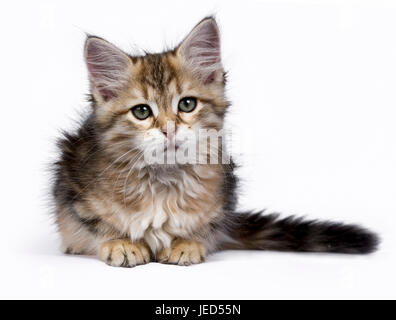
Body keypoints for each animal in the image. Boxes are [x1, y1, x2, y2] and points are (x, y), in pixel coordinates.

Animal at [51, 17, 378, 268]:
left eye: (187, 104)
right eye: (142, 112)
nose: (169, 129)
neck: (163, 179)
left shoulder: (223, 196)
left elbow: (204, 227)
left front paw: (187, 243)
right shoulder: (72, 185)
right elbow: (97, 224)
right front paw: (119, 242)